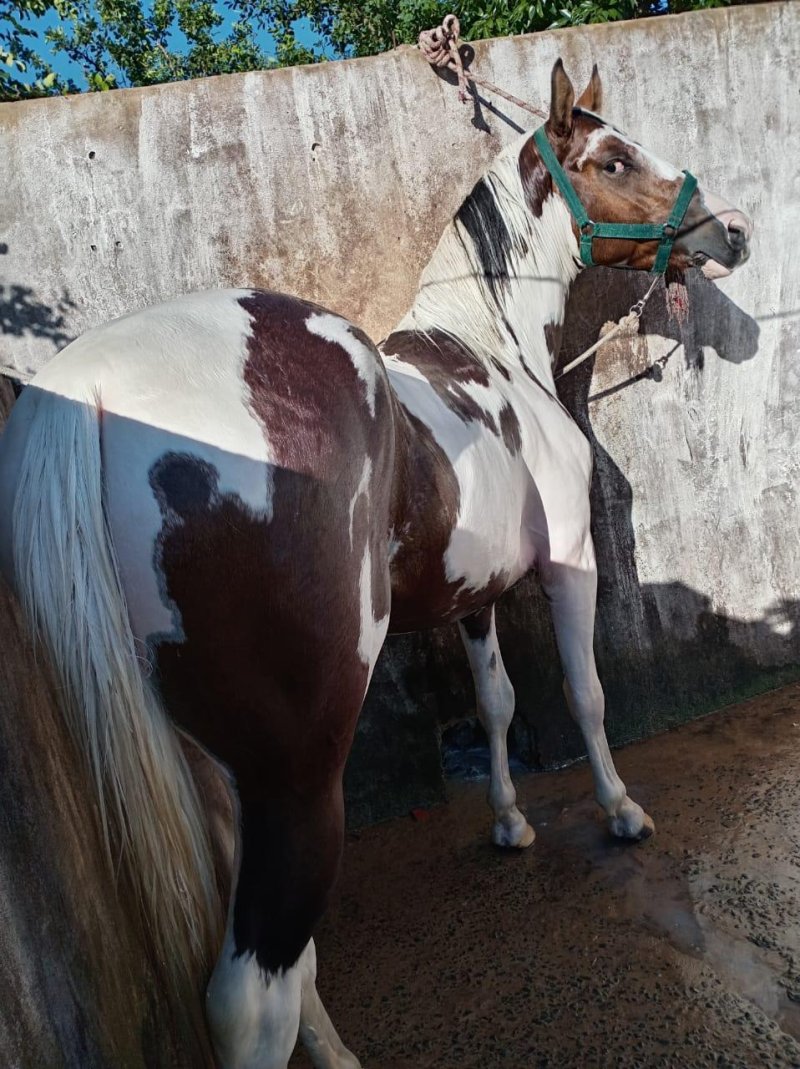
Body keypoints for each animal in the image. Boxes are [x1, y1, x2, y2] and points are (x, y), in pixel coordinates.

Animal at [0, 59, 751, 1069]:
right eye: (612, 157)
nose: (731, 230)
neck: (492, 348)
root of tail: (86, 387)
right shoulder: (570, 561)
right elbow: (586, 693)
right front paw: (622, 811)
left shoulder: (473, 597)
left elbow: (497, 701)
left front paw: (510, 821)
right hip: (300, 771)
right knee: (253, 993)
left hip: (219, 769)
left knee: (280, 954)